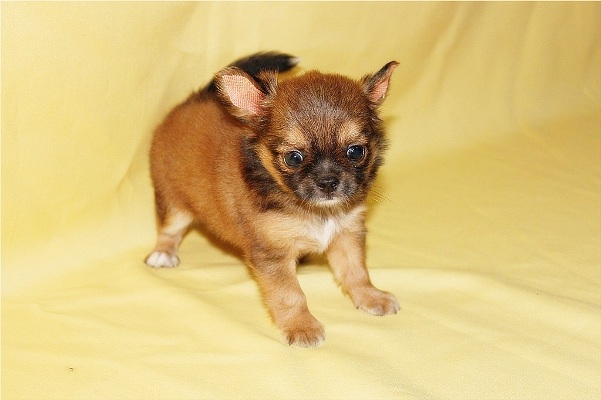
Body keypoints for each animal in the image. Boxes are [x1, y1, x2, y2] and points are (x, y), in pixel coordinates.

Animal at [146, 52, 399, 347]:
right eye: (294, 158)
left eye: (355, 152)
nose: (328, 182)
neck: (315, 211)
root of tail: (191, 102)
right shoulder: (272, 255)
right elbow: (289, 295)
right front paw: (301, 327)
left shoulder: (346, 234)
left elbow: (356, 272)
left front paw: (371, 296)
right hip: (174, 204)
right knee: (168, 229)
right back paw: (163, 254)